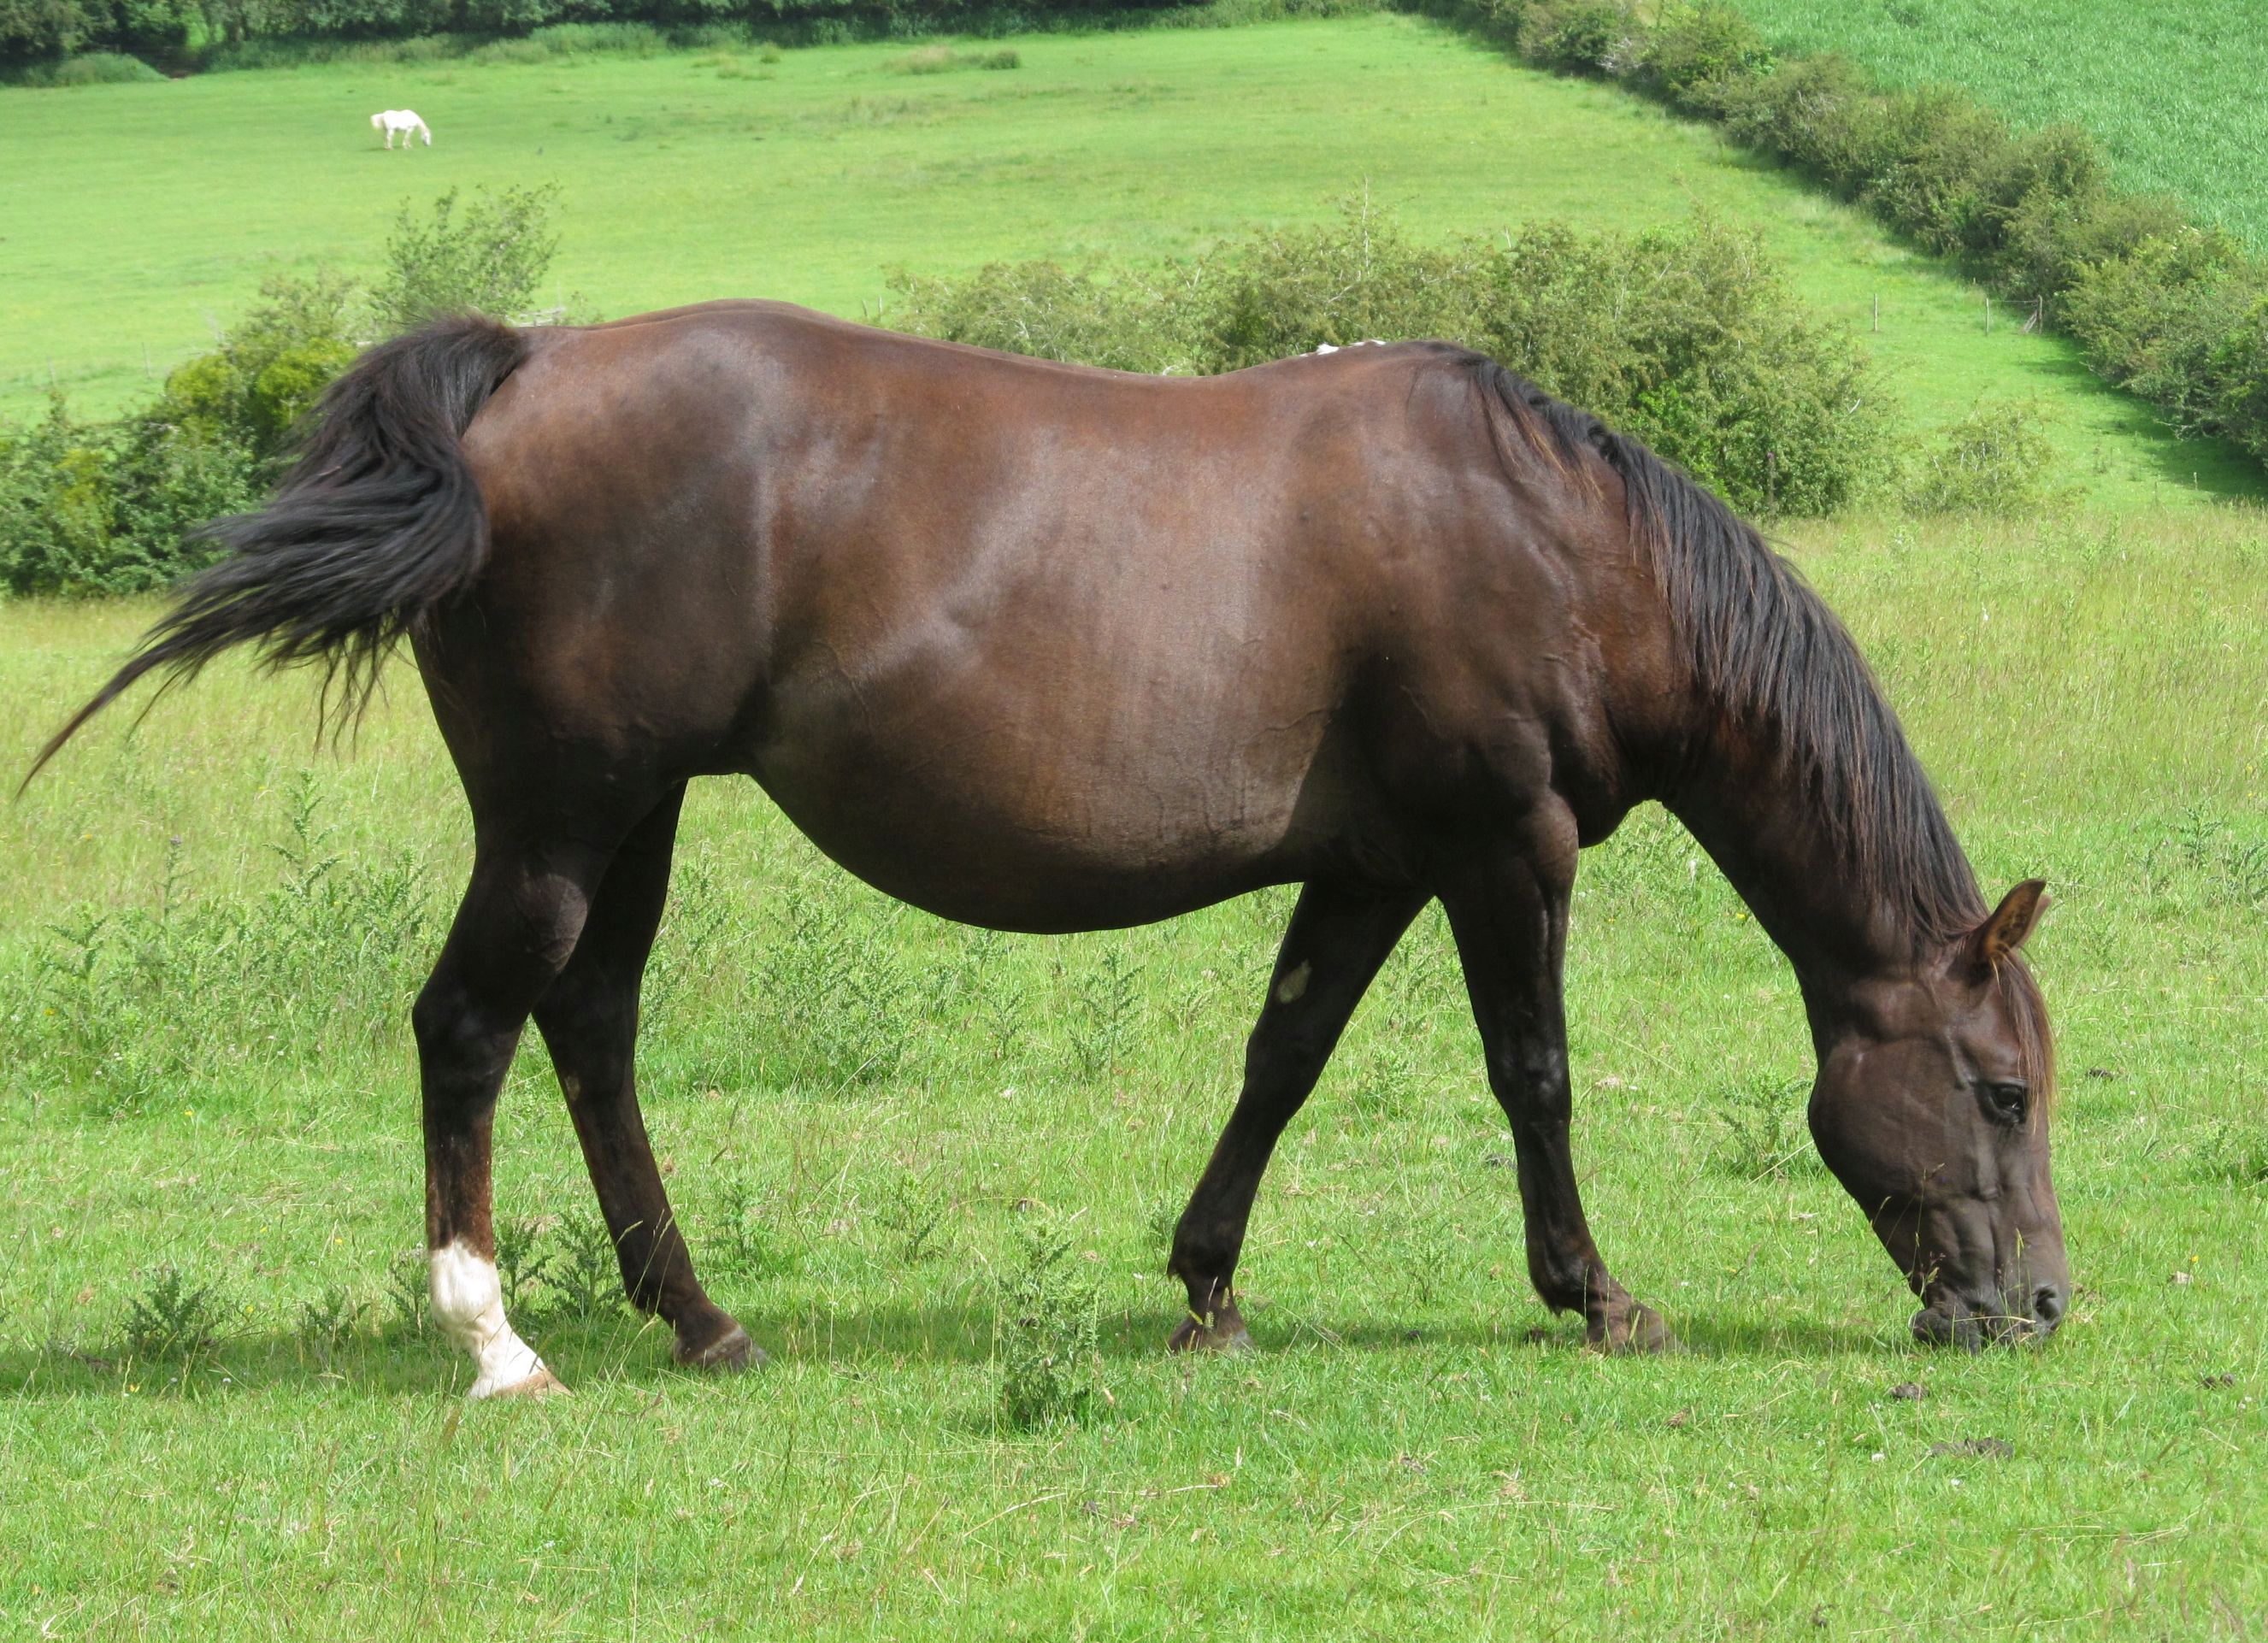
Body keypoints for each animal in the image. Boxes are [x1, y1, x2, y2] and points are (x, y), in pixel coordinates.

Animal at [27, 303, 2068, 1398]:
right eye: (1998, 1090)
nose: (2036, 1308)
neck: (1558, 541)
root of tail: (529, 366)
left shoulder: (1373, 865)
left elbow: (1283, 1055)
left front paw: (1207, 1286)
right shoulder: (1502, 848)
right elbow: (1534, 1073)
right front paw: (1595, 1296)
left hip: (637, 816)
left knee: (591, 1032)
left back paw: (699, 1317)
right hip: (561, 814)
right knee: (470, 1026)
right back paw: (496, 1338)